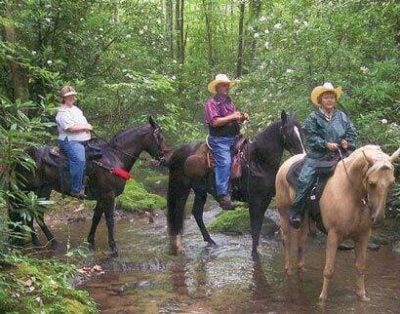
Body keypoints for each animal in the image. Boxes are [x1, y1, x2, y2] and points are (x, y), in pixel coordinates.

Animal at [12, 115, 169, 255]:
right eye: (160, 138)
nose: (166, 159)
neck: (114, 158)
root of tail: (22, 155)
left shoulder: (102, 196)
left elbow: (96, 218)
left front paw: (90, 242)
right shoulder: (109, 195)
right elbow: (110, 221)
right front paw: (113, 248)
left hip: (44, 189)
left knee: (36, 214)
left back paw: (51, 242)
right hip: (28, 189)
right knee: (28, 213)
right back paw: (37, 242)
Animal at [166, 111, 304, 254]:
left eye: (301, 130)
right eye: (288, 132)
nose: (302, 154)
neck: (259, 161)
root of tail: (177, 152)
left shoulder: (264, 201)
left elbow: (258, 230)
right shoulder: (255, 201)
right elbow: (255, 230)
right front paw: (255, 254)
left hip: (200, 191)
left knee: (196, 212)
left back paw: (210, 241)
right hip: (181, 187)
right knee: (177, 213)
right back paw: (178, 244)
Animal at [276, 145, 400, 302]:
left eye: (391, 183)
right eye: (372, 183)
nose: (377, 219)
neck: (351, 193)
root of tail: (286, 163)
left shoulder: (363, 235)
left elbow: (361, 266)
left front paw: (362, 295)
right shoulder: (333, 235)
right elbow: (328, 270)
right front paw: (322, 299)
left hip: (303, 221)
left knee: (301, 243)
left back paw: (301, 269)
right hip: (284, 214)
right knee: (286, 241)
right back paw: (288, 270)